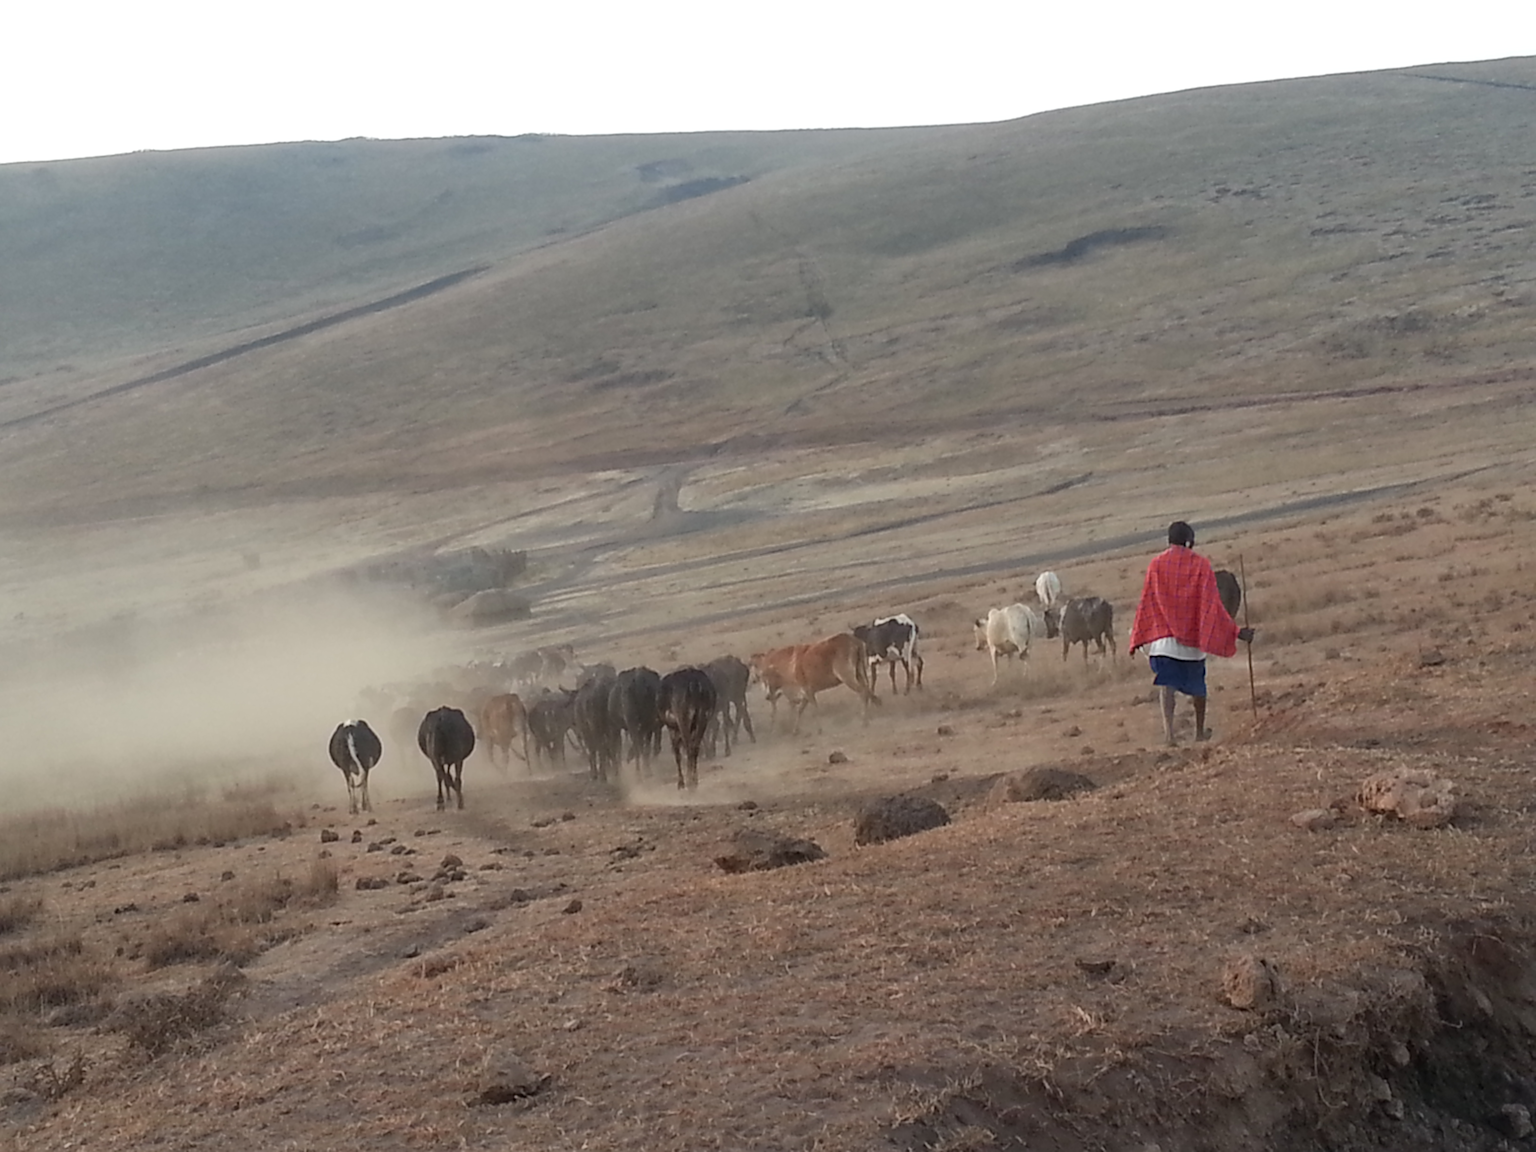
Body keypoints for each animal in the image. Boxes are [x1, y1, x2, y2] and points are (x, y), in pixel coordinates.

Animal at [748, 633, 877, 735]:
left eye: (766, 678)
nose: (767, 697)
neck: (788, 665)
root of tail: (854, 640)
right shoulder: (805, 694)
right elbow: (800, 711)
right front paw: (795, 730)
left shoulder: (808, 691)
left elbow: (814, 709)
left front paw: (819, 729)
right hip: (859, 672)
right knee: (867, 689)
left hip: (847, 676)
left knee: (862, 692)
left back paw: (864, 720)